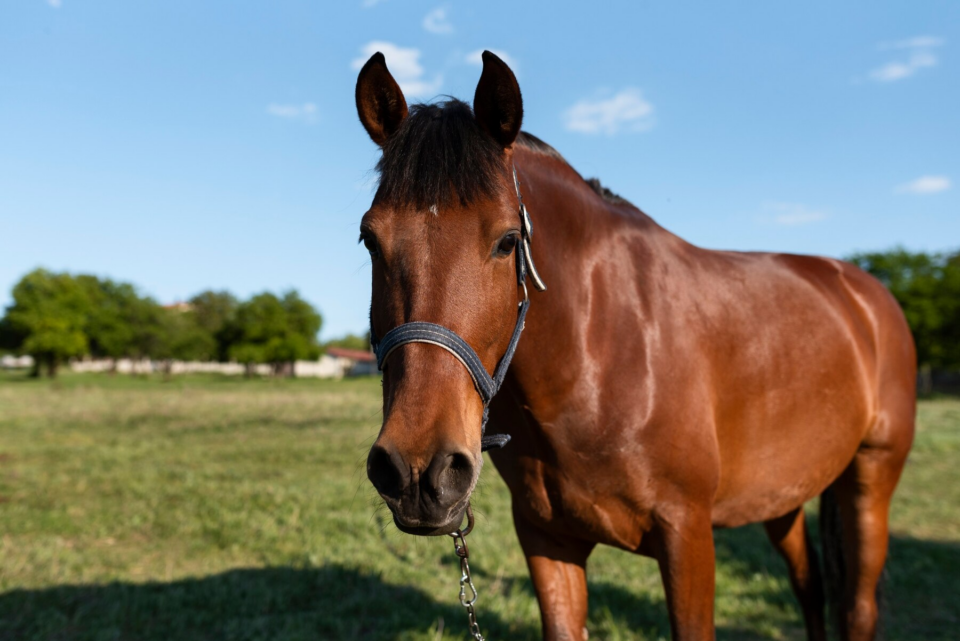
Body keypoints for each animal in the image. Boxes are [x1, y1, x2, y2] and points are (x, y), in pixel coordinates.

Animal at [350, 51, 916, 640]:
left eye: (507, 241)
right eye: (371, 239)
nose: (419, 471)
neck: (598, 355)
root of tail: (865, 292)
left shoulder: (688, 537)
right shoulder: (547, 540)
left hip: (870, 480)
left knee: (857, 606)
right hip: (782, 495)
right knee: (810, 587)